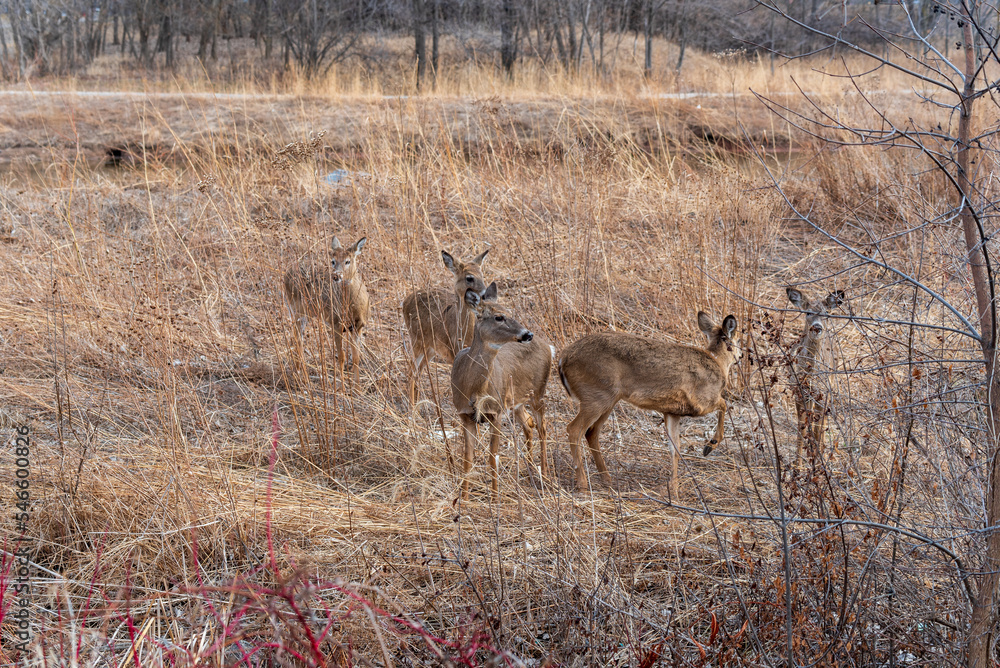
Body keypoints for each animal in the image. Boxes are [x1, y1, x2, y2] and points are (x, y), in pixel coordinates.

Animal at [283, 236, 370, 386]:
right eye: (333, 260)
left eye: (348, 261)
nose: (336, 276)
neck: (353, 307)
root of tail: (286, 274)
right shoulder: (336, 324)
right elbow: (341, 356)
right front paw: (342, 388)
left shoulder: (357, 327)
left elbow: (356, 357)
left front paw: (357, 387)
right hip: (297, 309)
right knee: (297, 339)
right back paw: (303, 377)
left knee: (296, 337)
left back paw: (300, 374)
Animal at [402, 249, 490, 405]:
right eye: (469, 278)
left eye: (482, 274)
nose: (485, 294)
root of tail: (405, 302)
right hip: (417, 340)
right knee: (411, 371)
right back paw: (412, 407)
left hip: (430, 349)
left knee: (418, 371)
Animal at [450, 282, 554, 500]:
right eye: (498, 317)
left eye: (509, 312)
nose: (527, 334)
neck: (473, 389)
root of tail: (548, 346)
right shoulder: (464, 415)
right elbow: (467, 458)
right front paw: (464, 498)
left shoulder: (495, 412)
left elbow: (492, 457)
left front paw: (495, 497)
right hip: (516, 400)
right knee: (528, 424)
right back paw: (529, 470)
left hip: (538, 392)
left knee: (543, 427)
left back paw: (545, 476)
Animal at [558, 312, 740, 498]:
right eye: (737, 340)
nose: (740, 356)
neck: (717, 363)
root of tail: (562, 359)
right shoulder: (701, 402)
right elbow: (725, 404)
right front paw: (710, 444)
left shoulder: (672, 412)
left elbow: (675, 449)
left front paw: (674, 490)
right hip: (597, 396)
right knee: (574, 429)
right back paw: (582, 485)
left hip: (608, 399)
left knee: (591, 432)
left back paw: (606, 479)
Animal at [786, 287, 844, 463]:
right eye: (808, 312)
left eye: (826, 313)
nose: (817, 327)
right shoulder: (799, 392)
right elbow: (802, 428)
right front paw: (798, 465)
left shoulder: (822, 393)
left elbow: (819, 428)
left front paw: (818, 463)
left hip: (829, 388)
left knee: (822, 422)